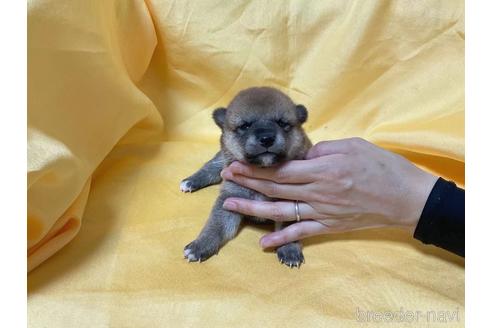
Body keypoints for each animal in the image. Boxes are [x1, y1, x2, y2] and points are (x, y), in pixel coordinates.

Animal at [181, 86, 312, 266]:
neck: (263, 169)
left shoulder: (289, 201)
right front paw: (201, 245)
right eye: (245, 126)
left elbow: (288, 227)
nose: (266, 138)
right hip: (220, 160)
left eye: (282, 123)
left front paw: (289, 248)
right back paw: (191, 181)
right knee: (210, 169)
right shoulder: (229, 198)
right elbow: (216, 225)